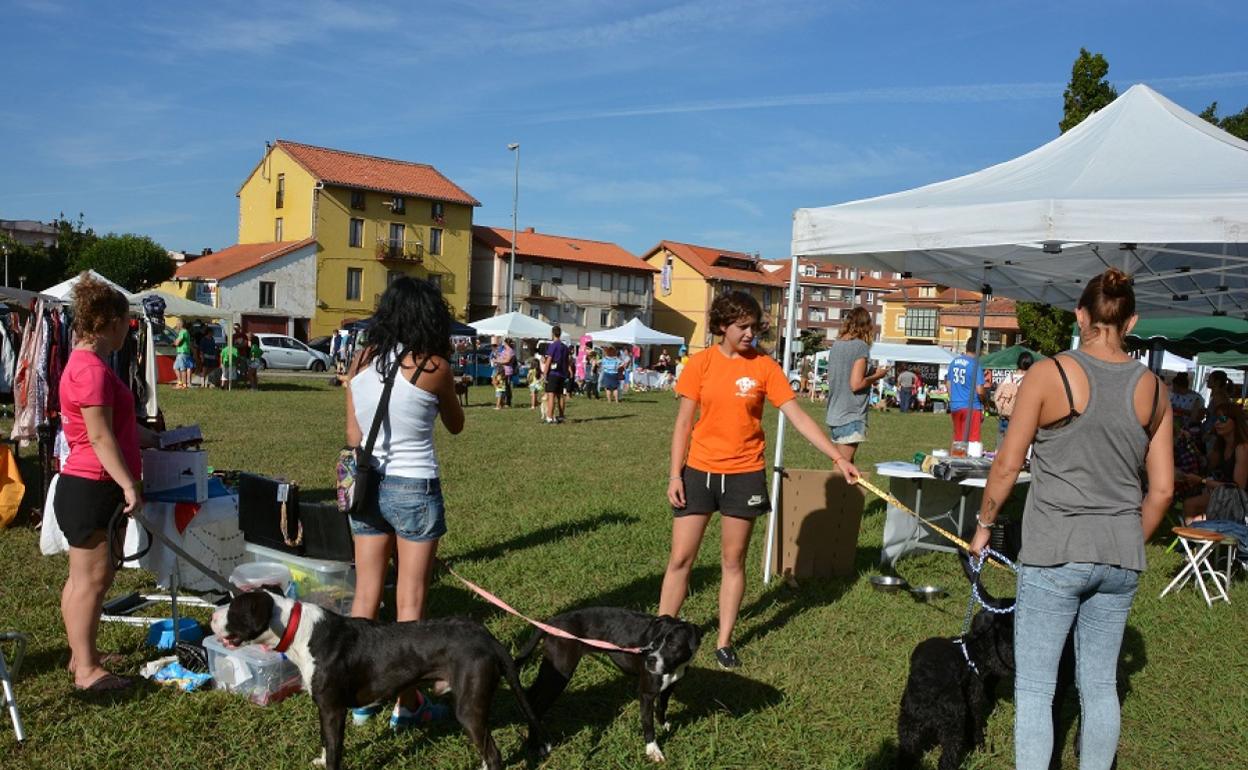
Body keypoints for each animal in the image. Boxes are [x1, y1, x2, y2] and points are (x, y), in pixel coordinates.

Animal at [209, 591, 546, 763]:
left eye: (234, 608)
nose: (211, 616)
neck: (299, 631)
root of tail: (487, 637)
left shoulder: (332, 709)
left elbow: (335, 749)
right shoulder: (325, 710)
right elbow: (325, 743)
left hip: (469, 709)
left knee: (493, 754)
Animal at [509, 606, 703, 763]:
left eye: (672, 645)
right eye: (653, 644)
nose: (650, 660)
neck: (674, 667)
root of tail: (551, 622)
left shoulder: (670, 686)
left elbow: (662, 706)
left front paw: (665, 725)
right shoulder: (646, 693)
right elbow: (647, 723)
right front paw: (653, 750)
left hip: (551, 672)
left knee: (531, 696)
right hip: (559, 675)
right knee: (537, 706)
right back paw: (537, 745)